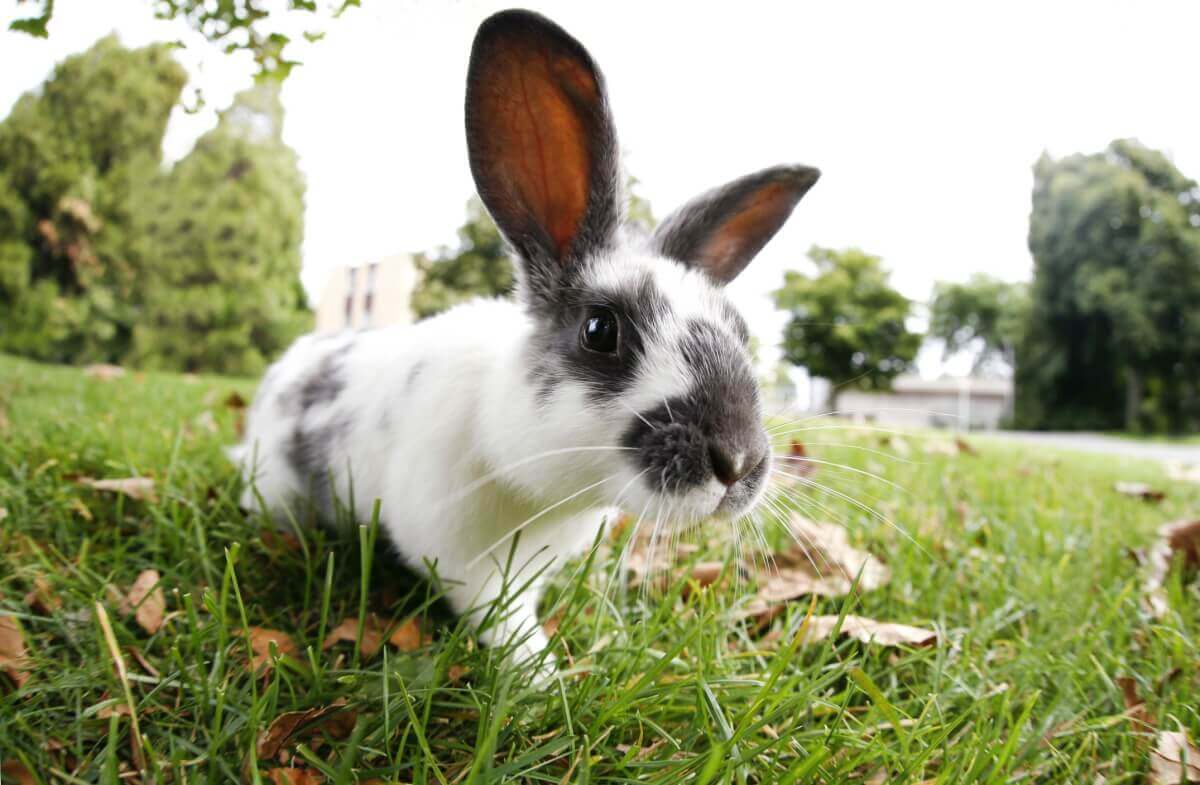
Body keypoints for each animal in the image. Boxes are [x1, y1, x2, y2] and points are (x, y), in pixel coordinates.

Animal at [231, 8, 819, 668]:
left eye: (739, 330)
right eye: (599, 330)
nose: (738, 463)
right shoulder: (461, 557)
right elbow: (501, 619)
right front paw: (543, 675)